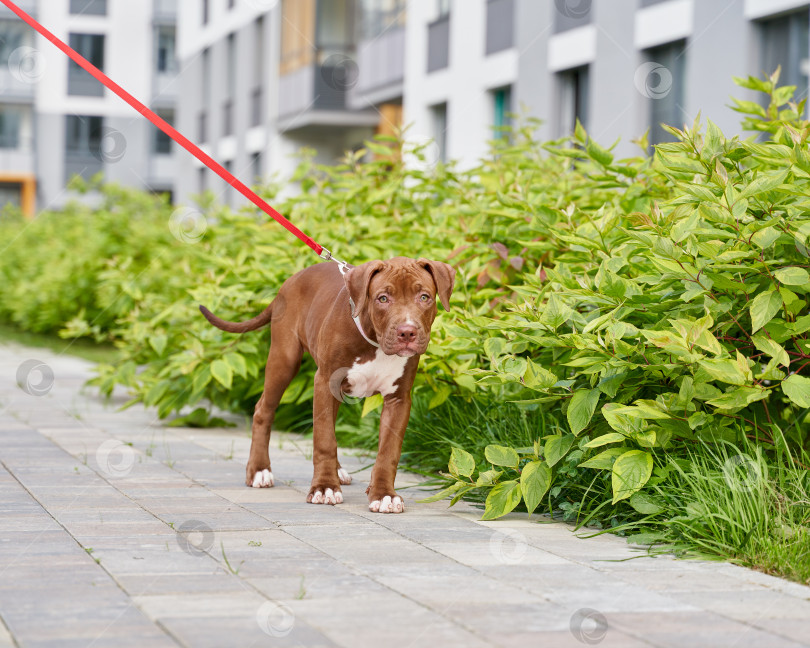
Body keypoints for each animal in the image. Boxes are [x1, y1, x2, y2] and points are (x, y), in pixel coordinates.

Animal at [200, 256, 454, 512]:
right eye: (383, 298)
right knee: (264, 410)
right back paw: (260, 471)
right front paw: (324, 488)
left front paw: (384, 494)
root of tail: (289, 282)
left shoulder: (399, 398)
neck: (374, 342)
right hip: (284, 358)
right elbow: (324, 440)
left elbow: (388, 450)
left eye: (424, 297)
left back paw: (337, 471)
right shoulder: (323, 383)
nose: (407, 332)